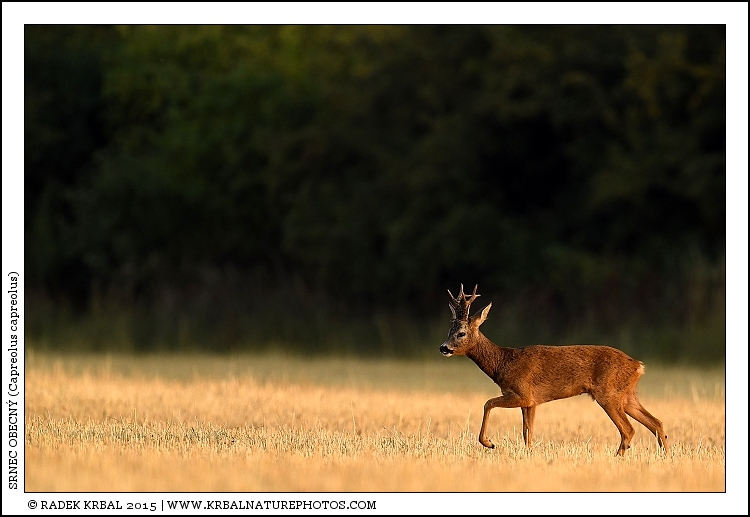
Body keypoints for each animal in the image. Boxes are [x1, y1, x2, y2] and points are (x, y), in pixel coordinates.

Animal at [439, 284, 669, 456]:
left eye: (461, 333)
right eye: (449, 330)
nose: (443, 347)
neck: (503, 363)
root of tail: (638, 365)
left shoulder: (523, 394)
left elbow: (487, 403)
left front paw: (489, 442)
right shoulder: (531, 402)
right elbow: (528, 433)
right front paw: (528, 455)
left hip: (608, 394)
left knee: (629, 429)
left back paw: (617, 458)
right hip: (626, 395)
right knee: (656, 423)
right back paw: (665, 457)